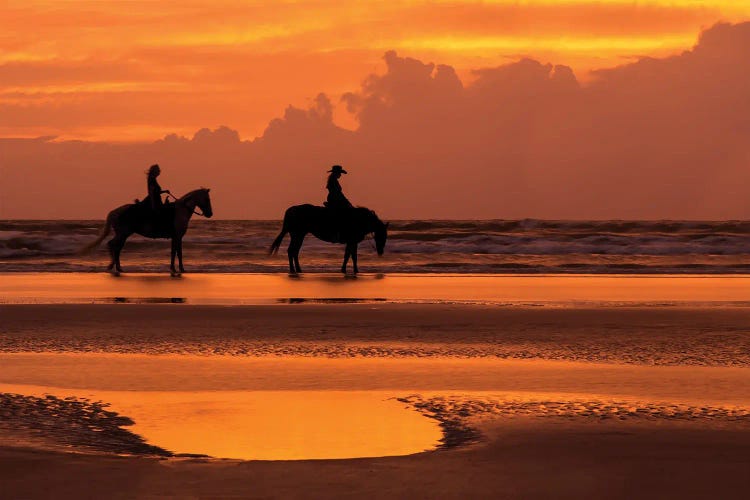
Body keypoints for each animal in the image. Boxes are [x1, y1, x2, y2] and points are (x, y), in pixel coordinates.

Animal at [81, 188, 213, 276]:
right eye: (207, 199)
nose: (210, 214)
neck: (181, 211)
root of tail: (114, 212)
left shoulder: (176, 237)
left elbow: (175, 252)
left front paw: (175, 269)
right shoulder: (177, 236)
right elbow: (177, 253)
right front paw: (180, 269)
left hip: (123, 234)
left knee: (116, 247)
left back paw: (118, 267)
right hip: (123, 233)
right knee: (113, 245)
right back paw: (113, 266)